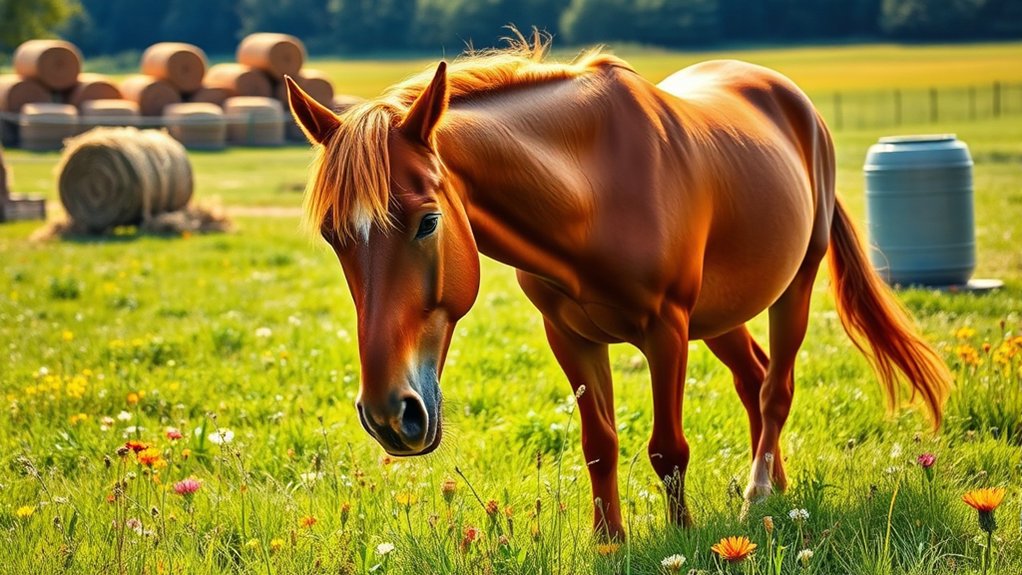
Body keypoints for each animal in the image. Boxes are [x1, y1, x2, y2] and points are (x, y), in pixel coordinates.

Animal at [285, 39, 951, 539]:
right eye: (333, 236)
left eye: (427, 221)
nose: (389, 415)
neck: (591, 192)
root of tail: (791, 100)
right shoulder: (569, 336)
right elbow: (599, 444)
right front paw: (610, 543)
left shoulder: (667, 330)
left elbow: (667, 448)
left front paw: (683, 537)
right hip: (721, 315)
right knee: (753, 378)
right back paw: (777, 491)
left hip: (794, 287)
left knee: (775, 389)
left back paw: (758, 495)